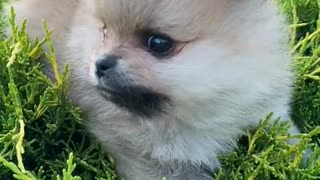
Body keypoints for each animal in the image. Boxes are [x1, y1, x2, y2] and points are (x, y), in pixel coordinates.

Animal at [6, 0, 302, 179]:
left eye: (159, 42)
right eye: (104, 32)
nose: (100, 63)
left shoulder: (267, 106)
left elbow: (289, 136)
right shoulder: (150, 160)